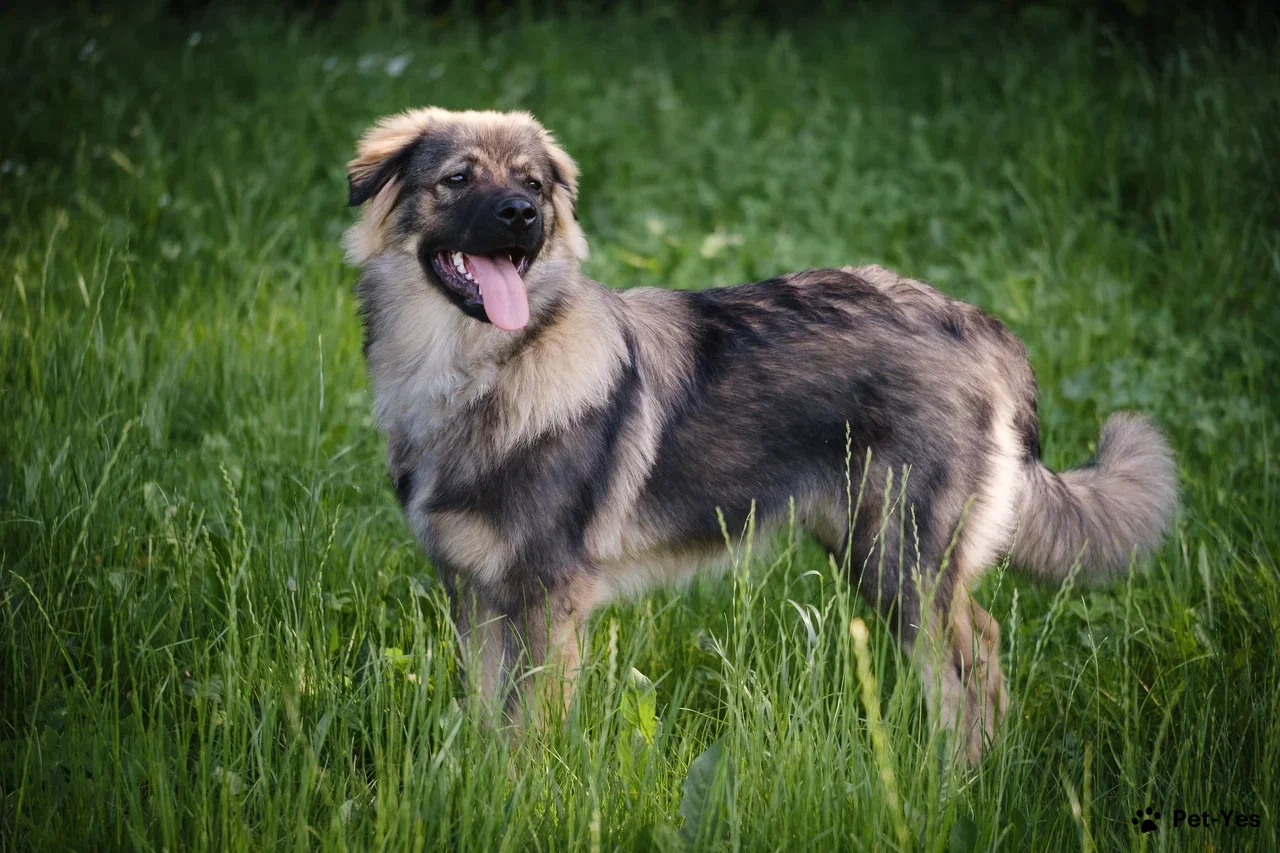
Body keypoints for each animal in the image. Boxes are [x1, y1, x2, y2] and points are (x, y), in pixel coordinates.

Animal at [343, 104, 1177, 758]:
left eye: (533, 184)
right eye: (458, 180)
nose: (523, 215)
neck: (480, 370)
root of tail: (974, 324)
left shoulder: (546, 597)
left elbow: (527, 736)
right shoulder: (476, 595)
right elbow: (487, 724)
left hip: (903, 558)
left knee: (972, 665)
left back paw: (957, 784)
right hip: (865, 547)